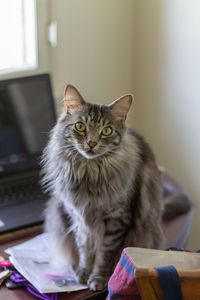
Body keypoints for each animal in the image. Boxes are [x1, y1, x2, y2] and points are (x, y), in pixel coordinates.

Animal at [41, 85, 165, 292]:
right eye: (80, 126)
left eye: (106, 131)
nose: (91, 143)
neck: (89, 173)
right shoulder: (79, 219)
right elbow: (85, 250)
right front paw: (83, 272)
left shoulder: (116, 220)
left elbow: (103, 256)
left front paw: (98, 278)